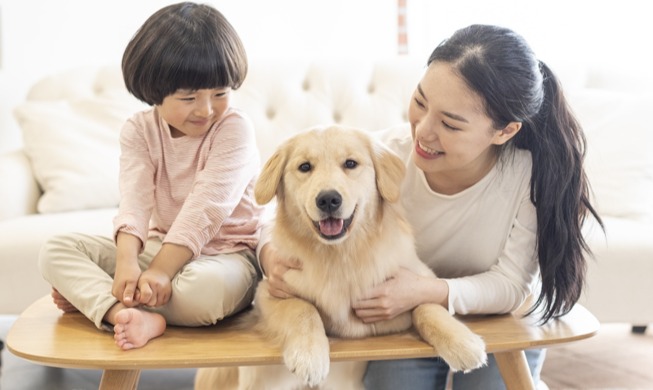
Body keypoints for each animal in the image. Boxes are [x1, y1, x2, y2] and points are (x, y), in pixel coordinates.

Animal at [196, 126, 486, 388]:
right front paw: (310, 355)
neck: (340, 255)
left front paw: (463, 343)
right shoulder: (269, 291)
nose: (328, 200)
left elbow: (426, 304)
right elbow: (303, 309)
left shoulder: (415, 278)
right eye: (304, 167)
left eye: (350, 164)